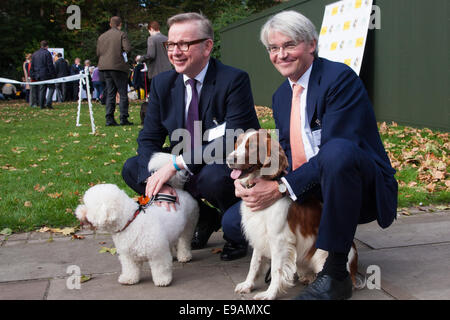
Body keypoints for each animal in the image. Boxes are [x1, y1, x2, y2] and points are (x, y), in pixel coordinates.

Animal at [75, 152, 199, 288]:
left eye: (88, 206)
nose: (77, 212)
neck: (130, 222)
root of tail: (178, 191)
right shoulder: (128, 256)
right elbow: (130, 269)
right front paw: (128, 279)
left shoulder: (157, 253)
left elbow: (160, 268)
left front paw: (163, 280)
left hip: (190, 223)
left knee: (184, 241)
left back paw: (184, 255)